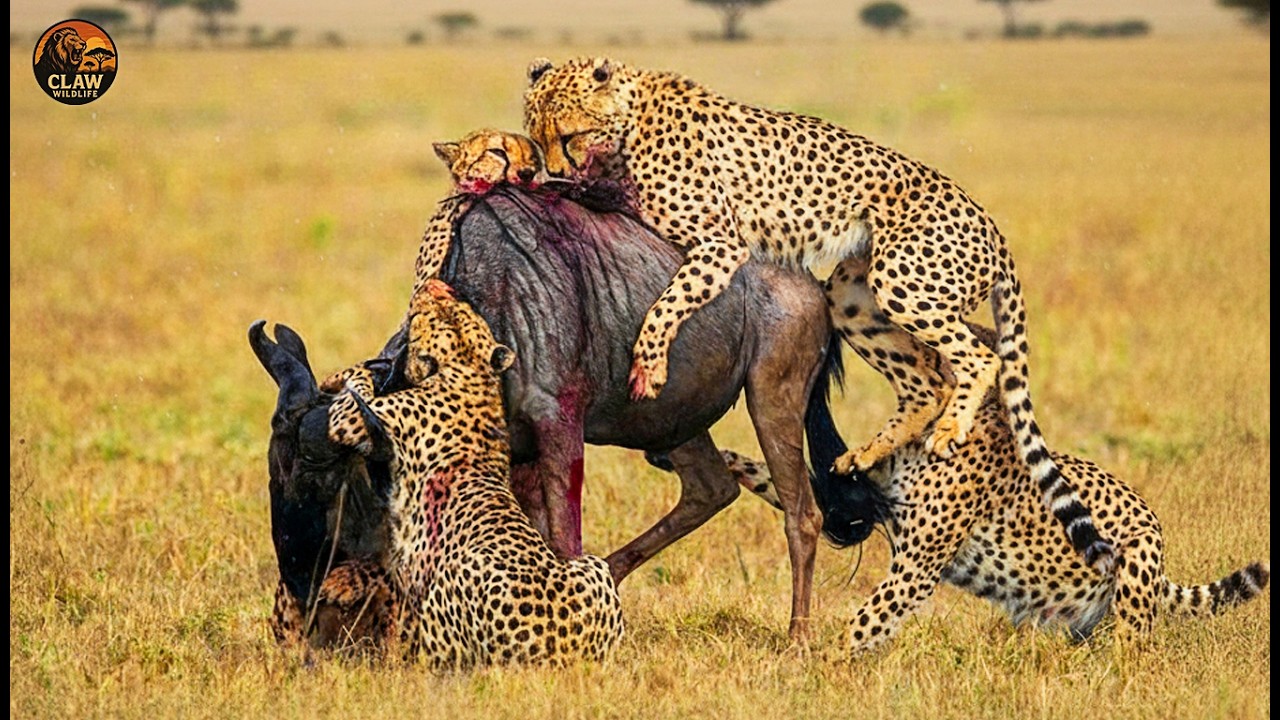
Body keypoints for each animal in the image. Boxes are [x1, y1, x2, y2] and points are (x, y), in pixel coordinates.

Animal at [321, 278, 624, 669]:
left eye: (423, 314)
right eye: (457, 304)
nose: (435, 285)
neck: (467, 366)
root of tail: (562, 650)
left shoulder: (355, 421)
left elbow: (354, 390)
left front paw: (336, 378)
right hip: (594, 568)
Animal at [522, 56, 1115, 574]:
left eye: (568, 136)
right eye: (537, 136)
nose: (552, 169)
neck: (633, 117)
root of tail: (993, 228)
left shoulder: (720, 242)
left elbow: (671, 299)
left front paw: (649, 363)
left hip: (901, 280)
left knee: (977, 358)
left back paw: (949, 429)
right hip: (851, 295)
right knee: (926, 379)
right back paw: (865, 454)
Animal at [718, 323, 1271, 655]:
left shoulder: (916, 564)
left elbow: (867, 621)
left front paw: (820, 667)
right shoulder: (865, 503)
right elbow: (793, 487)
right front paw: (727, 459)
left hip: (1135, 563)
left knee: (1134, 649)